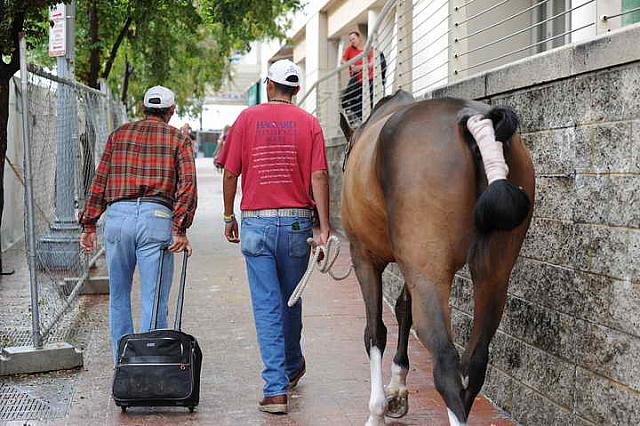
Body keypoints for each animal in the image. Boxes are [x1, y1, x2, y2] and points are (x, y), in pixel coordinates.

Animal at [340, 90, 536, 426]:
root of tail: (471, 117)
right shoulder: (409, 263)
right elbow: (403, 309)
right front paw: (397, 390)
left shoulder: (363, 256)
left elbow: (375, 332)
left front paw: (377, 409)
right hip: (493, 275)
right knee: (475, 361)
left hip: (428, 274)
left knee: (446, 362)